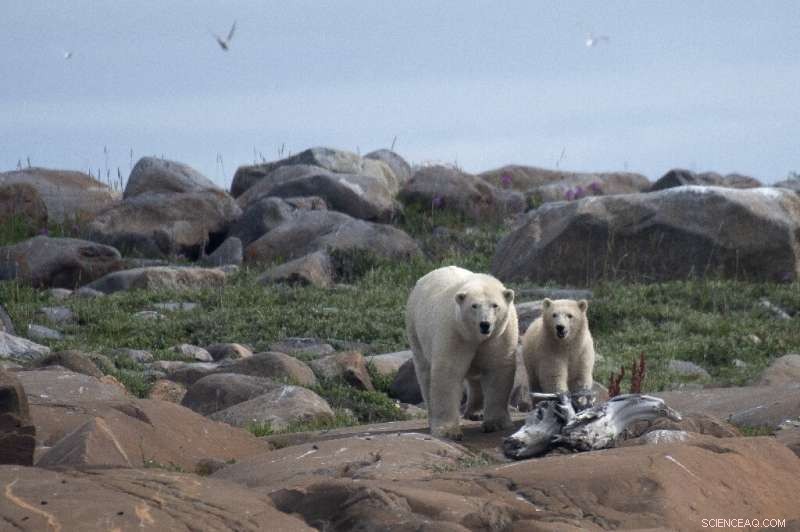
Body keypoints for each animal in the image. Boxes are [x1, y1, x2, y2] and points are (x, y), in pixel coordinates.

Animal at [405, 266, 518, 440]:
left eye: (495, 305)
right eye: (474, 305)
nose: (485, 324)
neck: (476, 337)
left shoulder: (500, 336)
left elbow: (498, 370)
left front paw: (496, 424)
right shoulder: (455, 333)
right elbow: (449, 373)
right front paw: (448, 431)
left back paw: (476, 412)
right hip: (416, 331)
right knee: (425, 374)